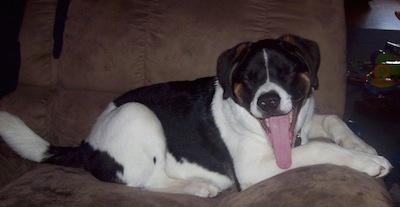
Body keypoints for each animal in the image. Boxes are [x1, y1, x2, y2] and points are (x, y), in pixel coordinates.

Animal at [0, 34, 392, 197]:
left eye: (286, 72)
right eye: (248, 79)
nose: (267, 101)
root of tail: (84, 144)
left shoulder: (308, 119)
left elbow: (332, 120)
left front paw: (363, 146)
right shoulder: (255, 168)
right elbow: (318, 148)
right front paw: (368, 162)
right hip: (139, 113)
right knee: (147, 181)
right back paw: (198, 187)